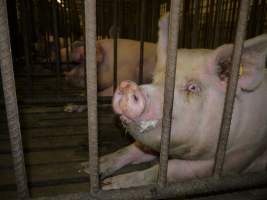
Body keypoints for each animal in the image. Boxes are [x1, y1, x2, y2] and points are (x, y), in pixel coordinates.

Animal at [80, 13, 267, 189]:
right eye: (155, 79)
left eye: (193, 87)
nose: (128, 86)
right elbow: (133, 148)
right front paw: (89, 168)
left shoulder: (236, 157)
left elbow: (170, 170)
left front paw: (108, 186)